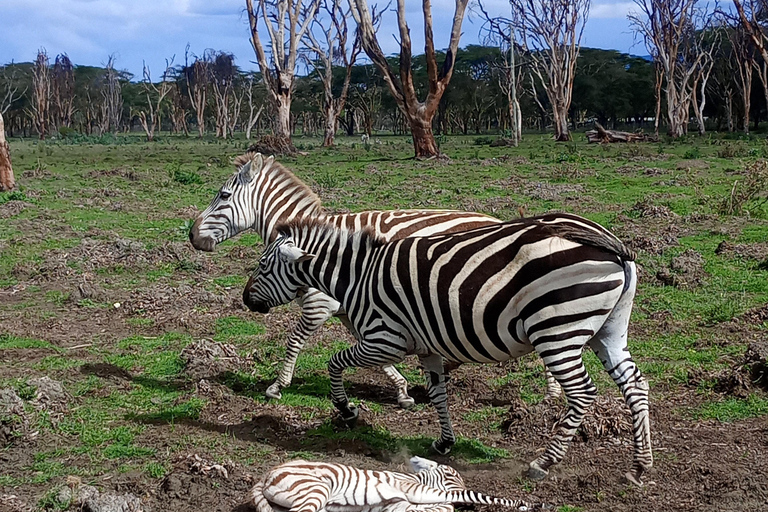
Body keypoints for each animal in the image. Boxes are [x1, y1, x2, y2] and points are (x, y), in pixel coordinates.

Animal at [186, 152, 560, 408]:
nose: (191, 236)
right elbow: (373, 353)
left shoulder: (320, 304)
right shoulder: (352, 309)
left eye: (222, 196)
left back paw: (552, 392)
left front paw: (277, 387)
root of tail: (496, 219)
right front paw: (402, 389)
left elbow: (294, 341)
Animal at [244, 214, 656, 486]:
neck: (358, 274)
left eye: (263, 266)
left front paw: (346, 411)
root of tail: (608, 240)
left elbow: (334, 363)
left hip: (558, 330)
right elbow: (438, 393)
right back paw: (639, 467)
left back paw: (544, 462)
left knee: (583, 392)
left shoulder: (384, 338)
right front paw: (444, 442)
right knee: (635, 385)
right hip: (608, 330)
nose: (246, 300)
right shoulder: (426, 347)